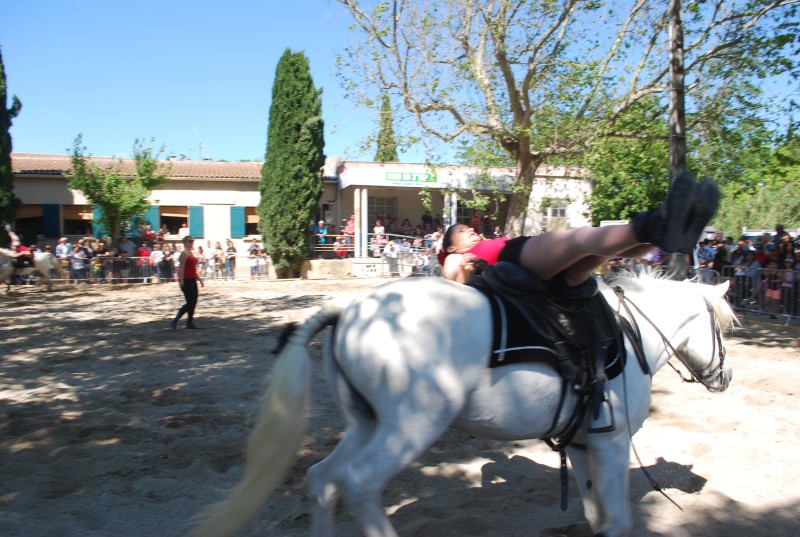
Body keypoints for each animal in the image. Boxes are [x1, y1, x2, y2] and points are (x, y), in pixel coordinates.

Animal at [192, 272, 732, 536]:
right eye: (723, 328)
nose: (724, 376)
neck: (628, 335)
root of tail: (351, 308)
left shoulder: (583, 445)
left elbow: (598, 515)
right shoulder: (613, 443)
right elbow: (616, 521)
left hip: (367, 424)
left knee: (323, 479)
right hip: (410, 427)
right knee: (358, 483)